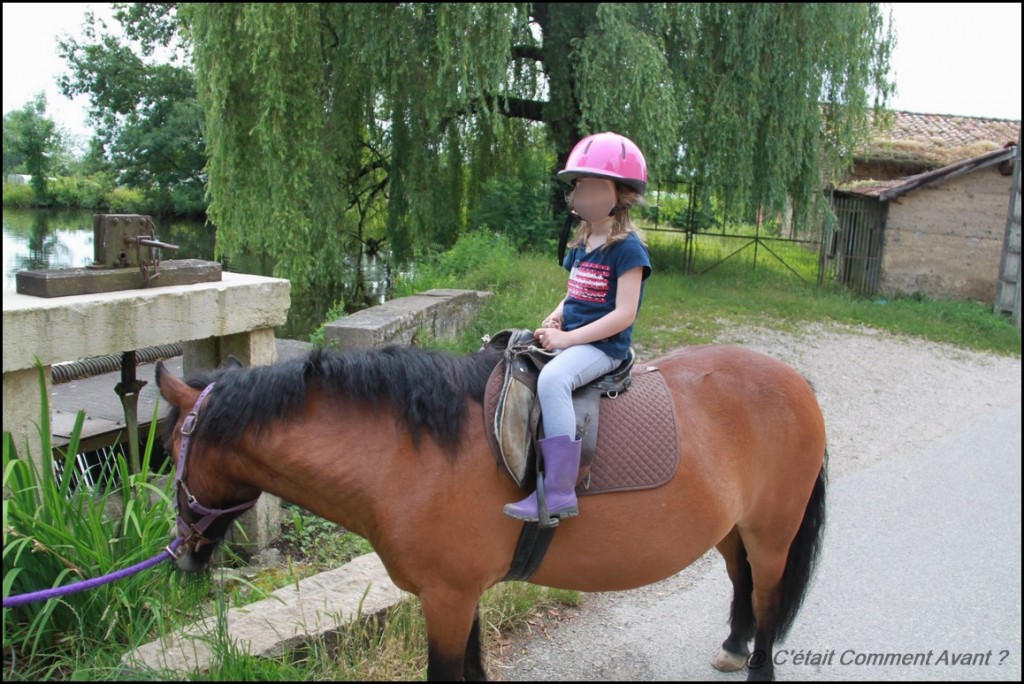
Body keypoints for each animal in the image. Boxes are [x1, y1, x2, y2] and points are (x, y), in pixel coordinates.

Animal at [157, 342, 823, 679]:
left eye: (165, 451)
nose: (180, 556)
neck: (413, 451)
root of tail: (795, 381)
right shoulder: (458, 595)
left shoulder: (448, 597)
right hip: (733, 529)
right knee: (741, 585)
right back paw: (733, 646)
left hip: (772, 533)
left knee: (768, 601)